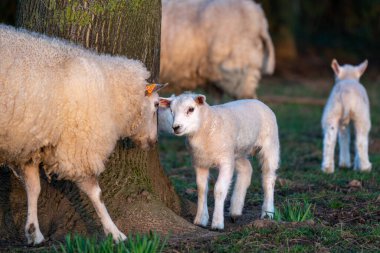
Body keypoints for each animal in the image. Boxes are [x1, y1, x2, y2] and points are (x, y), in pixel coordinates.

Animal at [0, 24, 166, 244]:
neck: (109, 92)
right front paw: (115, 233)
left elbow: (33, 188)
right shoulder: (79, 148)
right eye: (156, 105)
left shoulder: (30, 143)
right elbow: (97, 194)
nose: (154, 141)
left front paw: (34, 232)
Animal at [159, 92, 280, 229]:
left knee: (268, 178)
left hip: (270, 144)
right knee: (247, 169)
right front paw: (201, 219)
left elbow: (219, 189)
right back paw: (235, 210)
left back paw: (267, 212)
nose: (176, 127)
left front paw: (217, 223)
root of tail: (259, 102)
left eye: (191, 109)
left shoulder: (225, 162)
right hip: (236, 152)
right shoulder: (200, 162)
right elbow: (202, 189)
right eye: (171, 110)